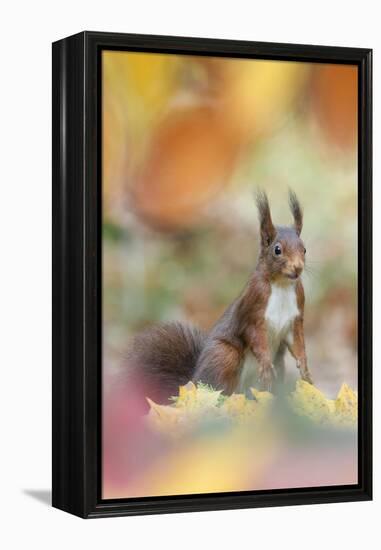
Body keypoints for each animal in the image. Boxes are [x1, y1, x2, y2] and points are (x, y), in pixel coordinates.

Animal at [127, 192, 312, 404]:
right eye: (277, 250)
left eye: (304, 249)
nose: (298, 268)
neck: (281, 285)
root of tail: (192, 383)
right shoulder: (253, 308)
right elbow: (254, 336)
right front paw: (265, 364)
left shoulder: (295, 316)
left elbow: (297, 342)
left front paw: (305, 369)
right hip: (224, 355)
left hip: (278, 365)